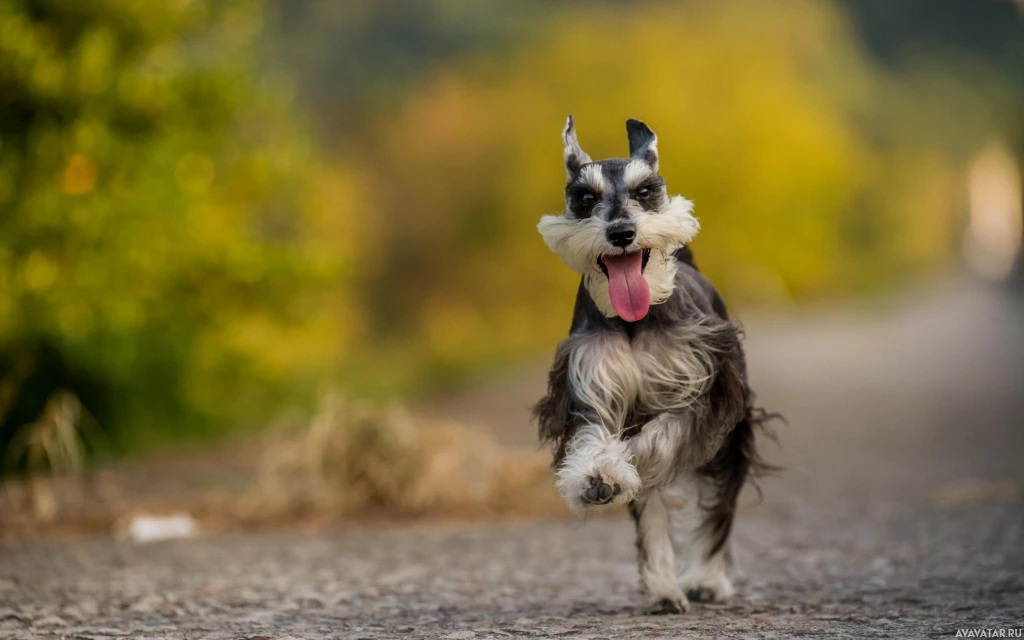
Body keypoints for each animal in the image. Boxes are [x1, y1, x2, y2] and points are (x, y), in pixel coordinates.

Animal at [532, 116, 770, 614]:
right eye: (585, 197)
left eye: (645, 191)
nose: (622, 232)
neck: (634, 322)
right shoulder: (590, 385)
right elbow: (597, 439)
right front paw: (598, 474)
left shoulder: (705, 393)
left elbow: (663, 439)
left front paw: (628, 461)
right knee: (652, 513)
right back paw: (663, 588)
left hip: (731, 439)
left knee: (718, 507)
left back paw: (705, 579)